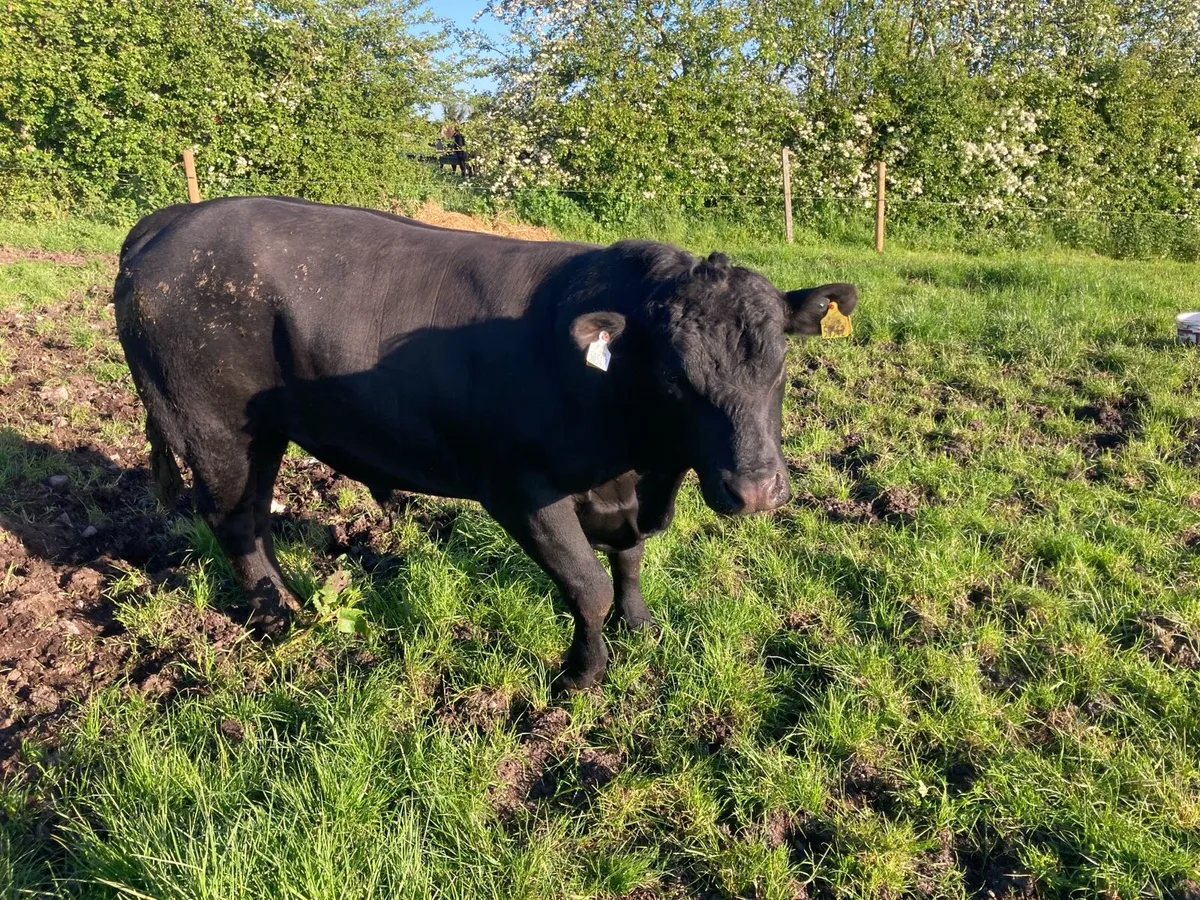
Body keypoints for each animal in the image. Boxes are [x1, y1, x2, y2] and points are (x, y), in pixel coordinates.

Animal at [113, 196, 858, 691]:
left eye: (781, 363)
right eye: (676, 376)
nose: (757, 489)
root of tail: (171, 220)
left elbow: (630, 562)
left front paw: (641, 627)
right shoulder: (521, 490)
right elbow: (587, 585)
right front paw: (582, 675)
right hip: (219, 431)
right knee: (236, 523)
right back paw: (278, 620)